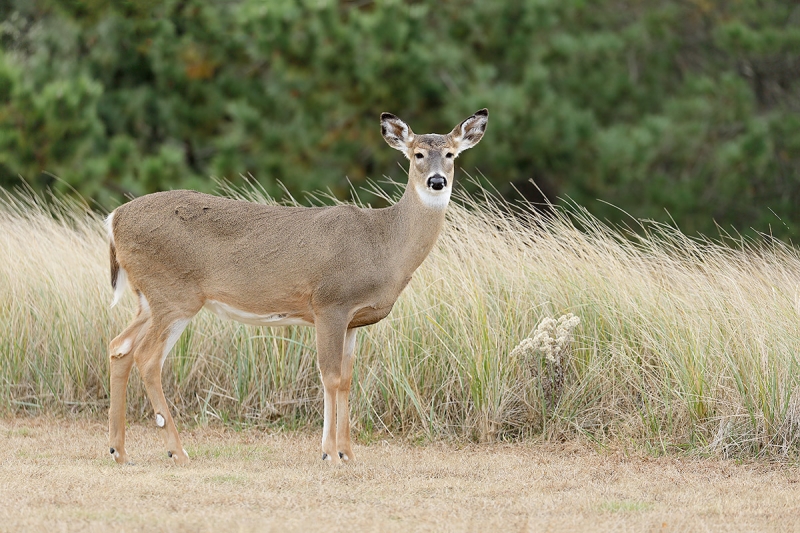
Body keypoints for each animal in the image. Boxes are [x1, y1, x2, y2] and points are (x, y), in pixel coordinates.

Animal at [103, 107, 484, 462]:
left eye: (451, 154)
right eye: (417, 154)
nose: (437, 181)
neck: (383, 244)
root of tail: (115, 218)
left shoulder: (353, 320)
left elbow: (347, 379)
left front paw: (348, 453)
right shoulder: (330, 303)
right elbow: (330, 376)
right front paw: (329, 453)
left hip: (148, 298)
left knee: (119, 347)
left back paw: (119, 451)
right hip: (174, 295)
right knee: (147, 358)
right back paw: (176, 450)